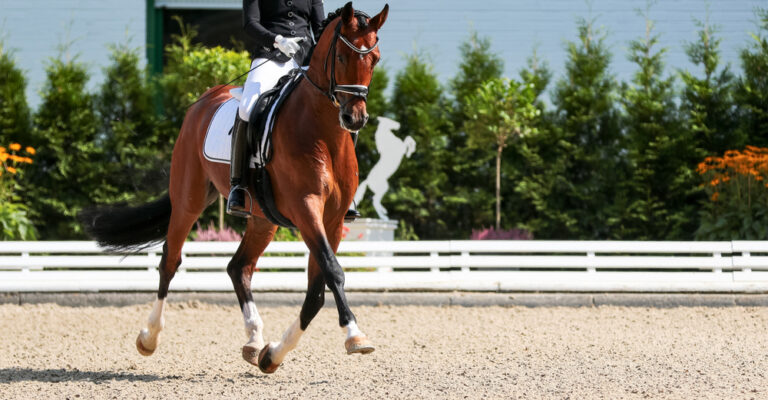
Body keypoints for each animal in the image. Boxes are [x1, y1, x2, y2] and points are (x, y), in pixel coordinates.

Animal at [79, 2, 389, 374]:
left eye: (375, 59)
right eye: (341, 56)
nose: (354, 118)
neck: (322, 133)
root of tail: (205, 99)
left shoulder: (334, 218)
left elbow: (317, 288)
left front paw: (273, 354)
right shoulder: (306, 207)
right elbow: (333, 272)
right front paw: (355, 335)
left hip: (263, 219)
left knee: (238, 267)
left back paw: (255, 341)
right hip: (188, 199)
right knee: (170, 260)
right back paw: (149, 338)